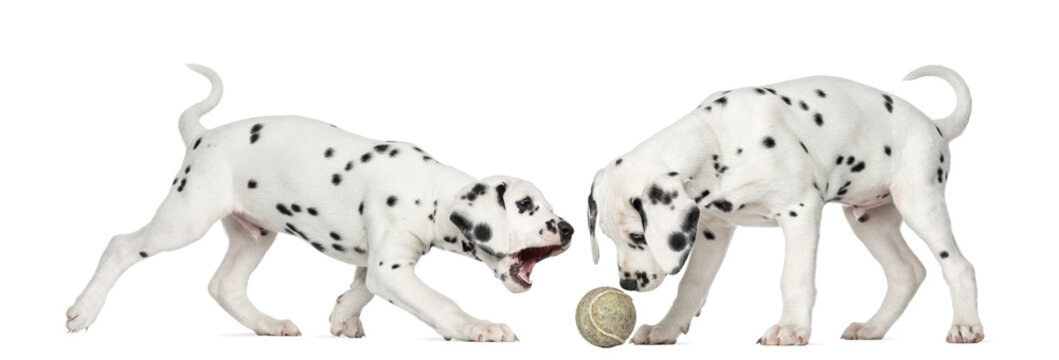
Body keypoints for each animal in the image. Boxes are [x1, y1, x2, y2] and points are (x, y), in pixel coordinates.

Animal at [65, 64, 571, 340]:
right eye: (526, 206)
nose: (566, 229)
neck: (431, 190)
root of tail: (202, 136)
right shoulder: (392, 267)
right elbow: (439, 301)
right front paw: (479, 328)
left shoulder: (378, 260)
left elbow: (361, 287)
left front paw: (343, 316)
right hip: (185, 219)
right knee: (120, 245)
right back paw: (83, 311)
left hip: (254, 236)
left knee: (224, 285)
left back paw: (267, 324)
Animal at [584, 65, 978, 345]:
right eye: (609, 238)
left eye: (639, 237)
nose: (627, 284)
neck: (717, 138)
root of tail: (935, 126)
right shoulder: (713, 230)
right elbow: (692, 284)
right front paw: (666, 329)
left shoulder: (801, 211)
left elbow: (794, 277)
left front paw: (789, 329)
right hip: (870, 221)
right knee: (906, 272)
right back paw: (872, 328)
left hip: (919, 202)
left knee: (958, 266)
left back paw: (966, 326)